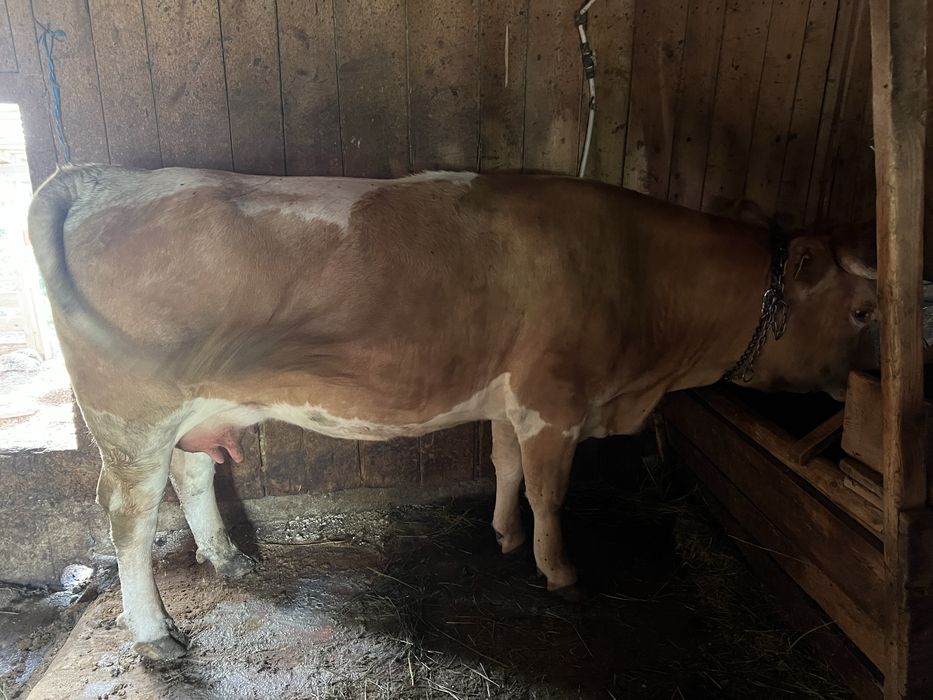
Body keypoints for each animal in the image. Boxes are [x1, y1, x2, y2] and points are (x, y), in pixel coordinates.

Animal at [28, 164, 877, 660]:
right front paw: (559, 570)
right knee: (129, 514)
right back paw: (153, 633)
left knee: (193, 474)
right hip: (130, 413)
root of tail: (105, 176)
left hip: (197, 406)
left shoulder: (509, 396)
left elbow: (504, 465)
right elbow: (550, 491)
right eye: (864, 310)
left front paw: (503, 535)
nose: (854, 392)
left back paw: (228, 559)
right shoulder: (554, 399)